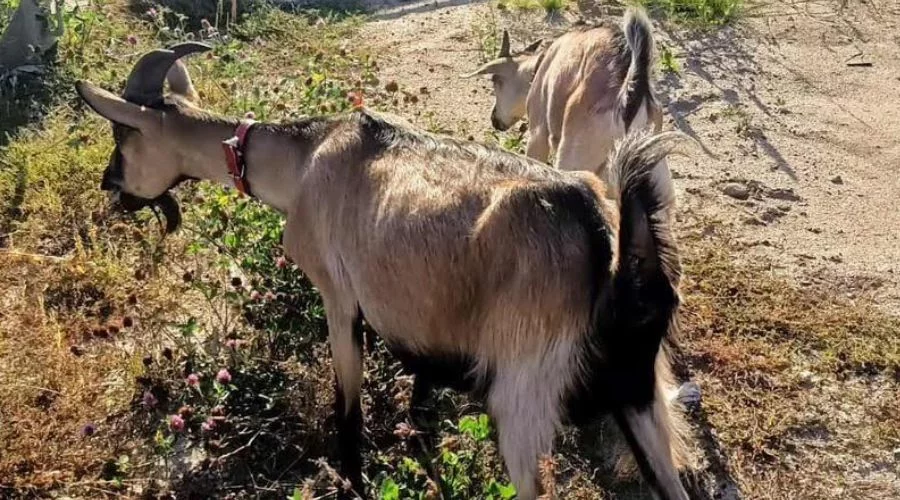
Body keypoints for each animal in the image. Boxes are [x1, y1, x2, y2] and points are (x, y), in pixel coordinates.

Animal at [75, 42, 691, 500]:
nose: (110, 184)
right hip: (642, 401)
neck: (304, 159)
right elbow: (421, 396)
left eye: (123, 135)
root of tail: (608, 244)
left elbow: (348, 416)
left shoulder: (340, 297)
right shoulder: (427, 329)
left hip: (523, 401)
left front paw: (351, 479)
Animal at [464, 7, 664, 183]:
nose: (494, 119)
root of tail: (631, 94)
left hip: (573, 160)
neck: (540, 65)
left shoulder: (538, 136)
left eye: (495, 81)